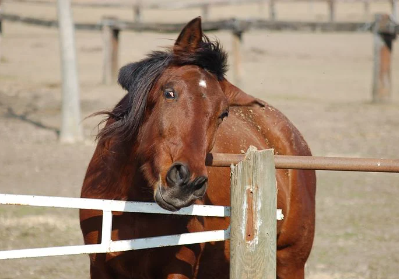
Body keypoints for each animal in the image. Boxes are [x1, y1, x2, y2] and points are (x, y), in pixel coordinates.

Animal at [81, 17, 318, 279]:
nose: (186, 183)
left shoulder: (178, 269)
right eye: (169, 92)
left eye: (223, 113)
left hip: (290, 262)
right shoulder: (98, 266)